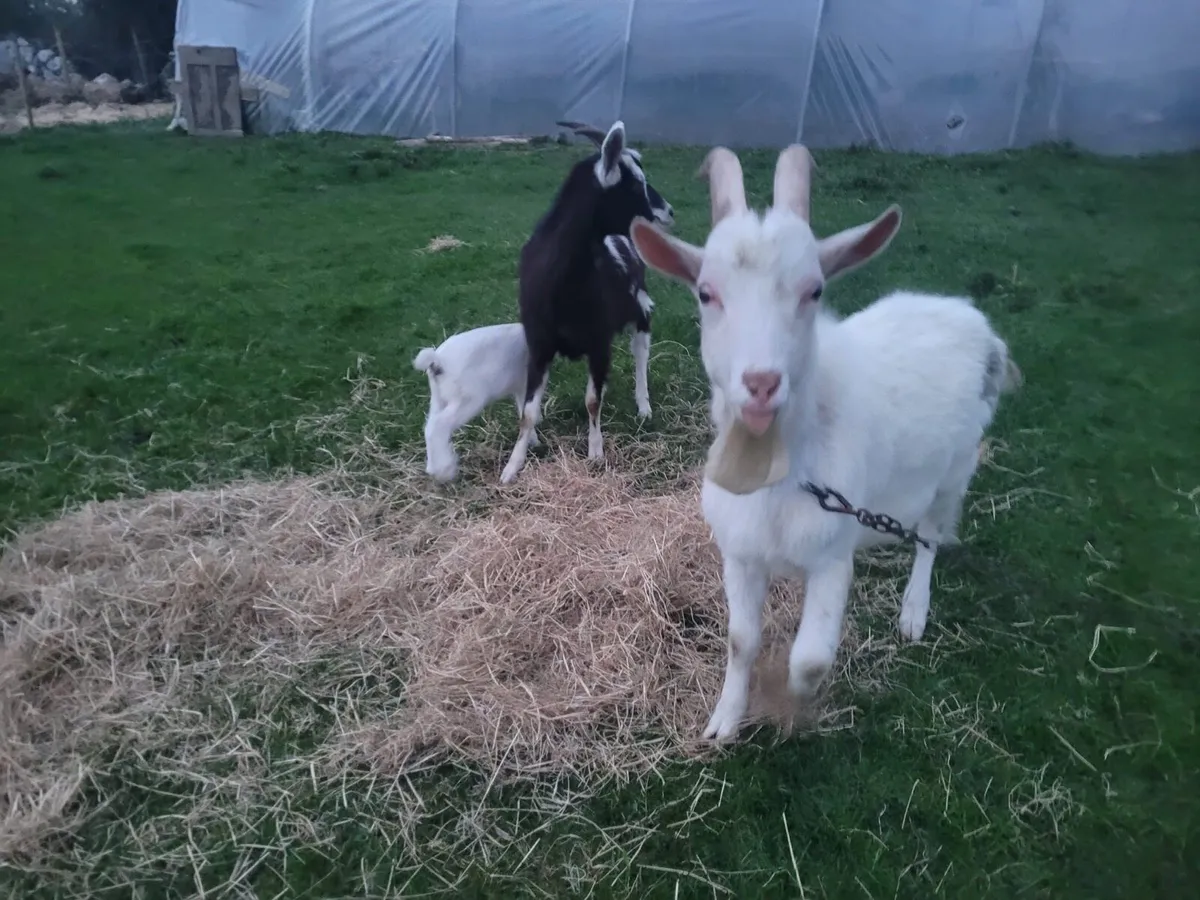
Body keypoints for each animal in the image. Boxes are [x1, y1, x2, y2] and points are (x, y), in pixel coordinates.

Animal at [413, 322, 537, 482]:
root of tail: (437, 361)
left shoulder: (522, 384)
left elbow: (525, 410)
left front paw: (534, 441)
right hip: (469, 399)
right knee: (439, 425)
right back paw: (445, 470)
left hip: (439, 398)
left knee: (430, 425)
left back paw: (435, 467)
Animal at [498, 120, 675, 484]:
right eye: (635, 184)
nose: (668, 212)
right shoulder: (539, 343)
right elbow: (528, 412)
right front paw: (512, 465)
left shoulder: (599, 341)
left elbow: (593, 400)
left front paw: (595, 451)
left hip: (639, 305)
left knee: (641, 348)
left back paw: (644, 405)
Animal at [629, 145, 1021, 742]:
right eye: (706, 293)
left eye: (813, 290)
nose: (761, 383)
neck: (782, 474)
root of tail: (971, 317)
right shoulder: (740, 551)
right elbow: (740, 640)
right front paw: (724, 720)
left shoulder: (832, 554)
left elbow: (810, 659)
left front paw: (790, 703)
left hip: (955, 469)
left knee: (932, 537)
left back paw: (914, 611)